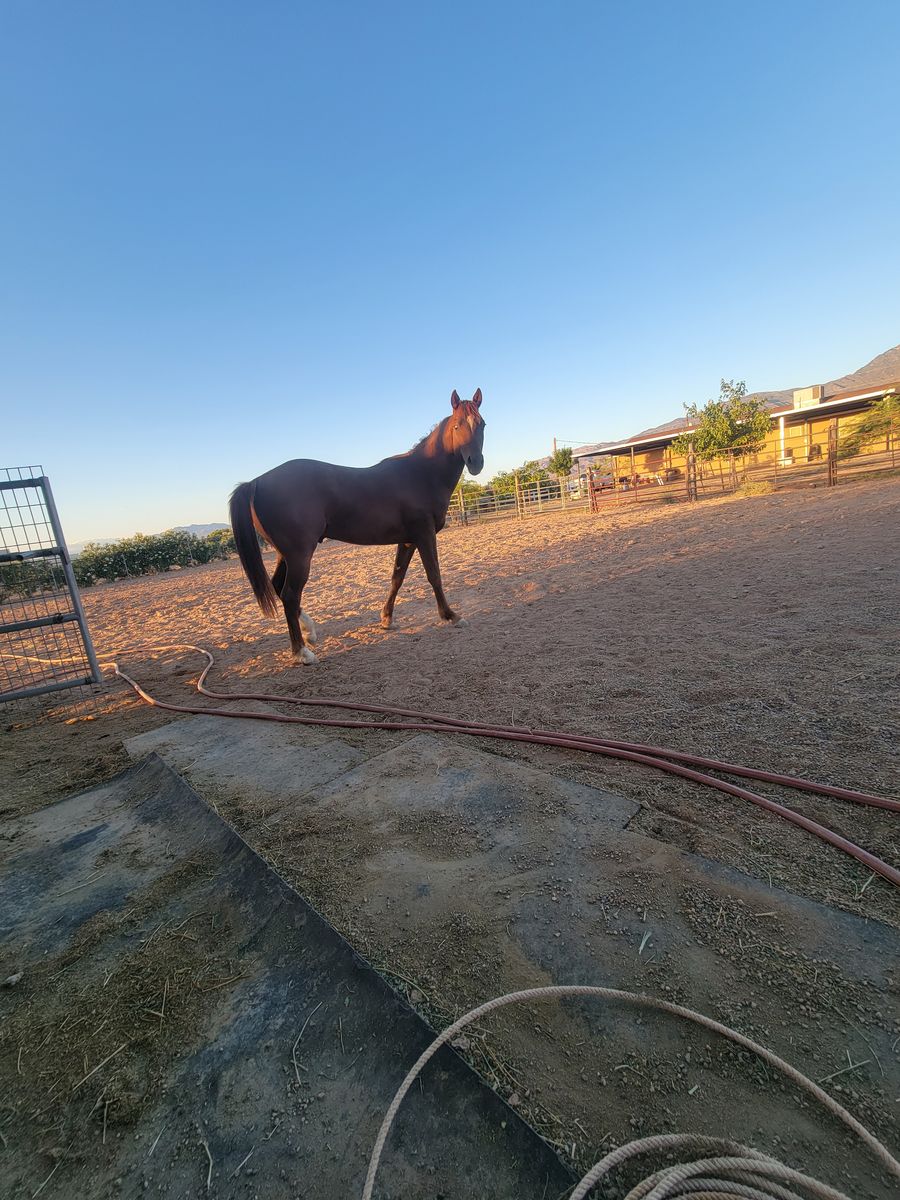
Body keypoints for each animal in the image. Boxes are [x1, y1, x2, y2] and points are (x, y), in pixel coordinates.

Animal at [229, 389, 486, 663]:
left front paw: (386, 619)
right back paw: (302, 652)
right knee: (289, 594)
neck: (421, 473)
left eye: (482, 424)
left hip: (284, 554)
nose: (475, 463)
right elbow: (434, 575)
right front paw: (451, 616)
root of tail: (256, 482)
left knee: (278, 587)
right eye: (457, 425)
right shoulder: (424, 535)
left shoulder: (408, 540)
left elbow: (397, 578)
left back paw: (310, 631)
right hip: (299, 555)